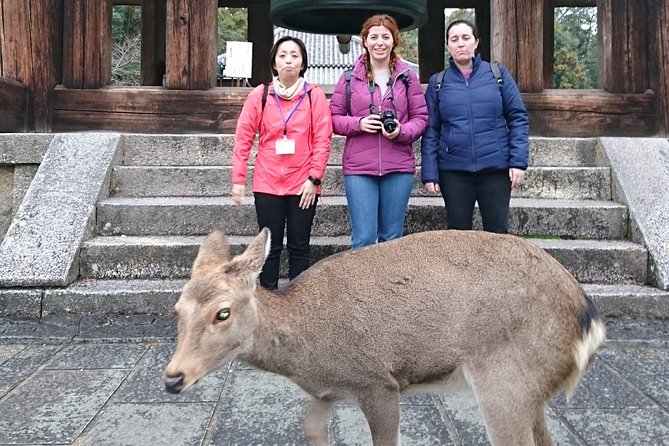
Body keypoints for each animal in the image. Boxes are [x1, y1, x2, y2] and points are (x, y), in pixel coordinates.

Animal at [163, 228, 606, 446]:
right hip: (533, 390)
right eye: (177, 310)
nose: (172, 378)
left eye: (222, 312)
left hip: (504, 382)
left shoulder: (377, 381)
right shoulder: (328, 394)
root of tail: (589, 321)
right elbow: (313, 430)